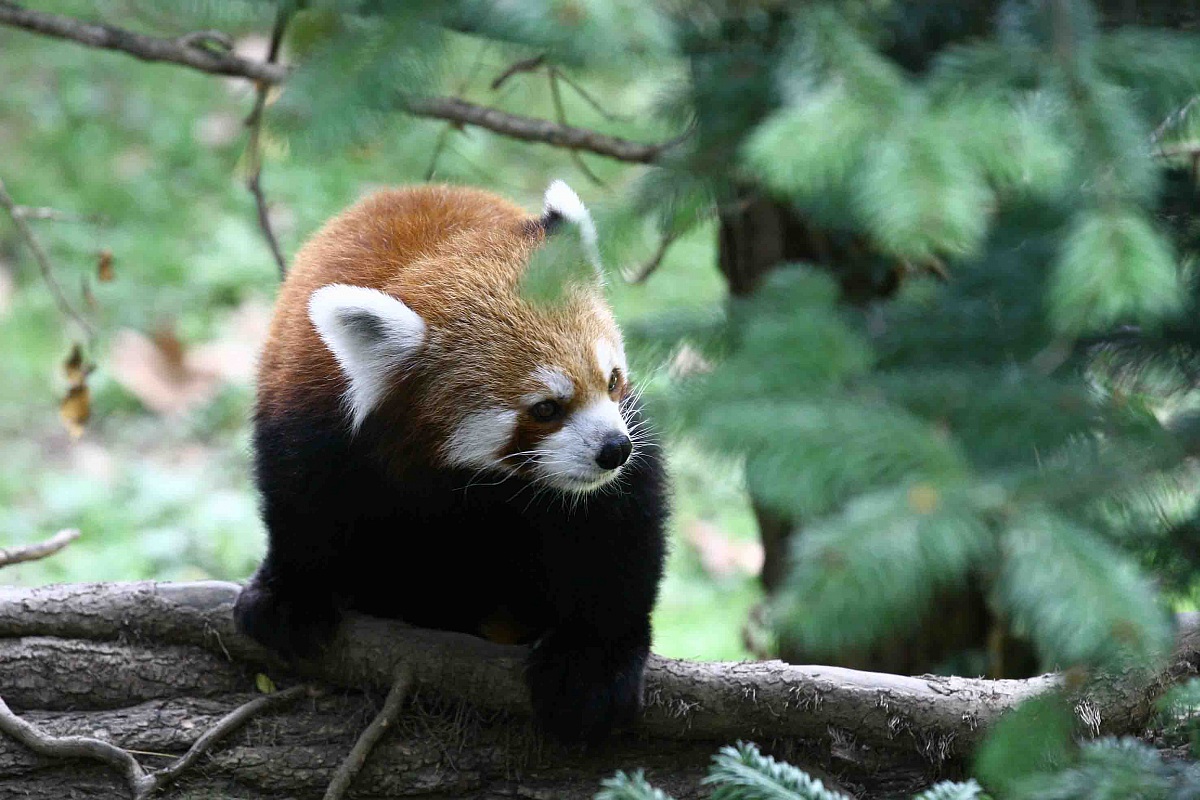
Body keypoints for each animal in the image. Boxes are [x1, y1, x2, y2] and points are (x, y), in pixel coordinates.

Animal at [234, 180, 669, 744]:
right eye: (545, 408)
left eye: (612, 380)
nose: (614, 449)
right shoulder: (312, 416)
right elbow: (302, 500)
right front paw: (291, 596)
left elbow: (612, 530)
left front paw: (593, 665)